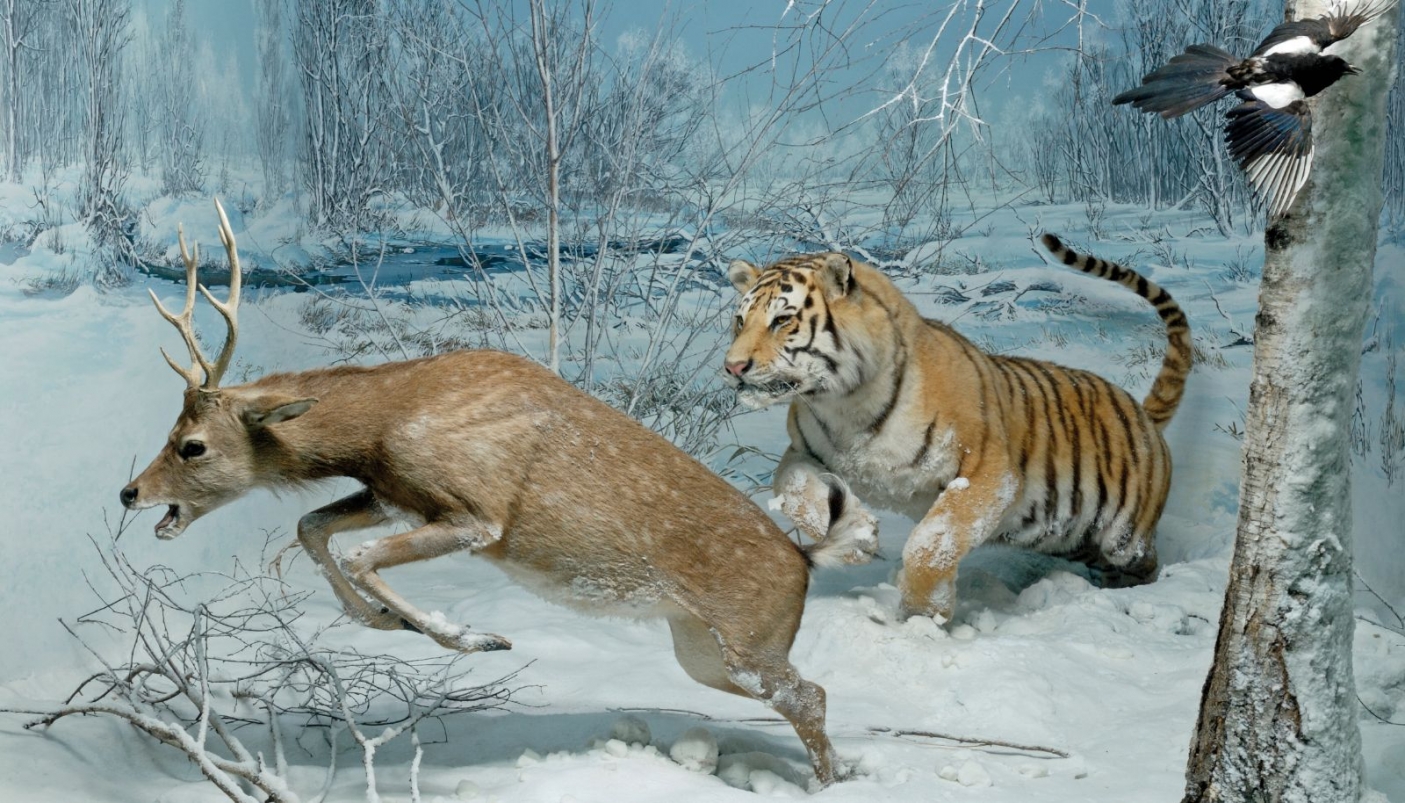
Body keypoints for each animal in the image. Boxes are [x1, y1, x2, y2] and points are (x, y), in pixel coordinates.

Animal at [118, 200, 868, 786]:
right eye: (172, 430)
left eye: (193, 445)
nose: (130, 492)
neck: (386, 419)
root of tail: (802, 561)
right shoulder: (391, 493)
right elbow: (311, 527)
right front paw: (386, 621)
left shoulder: (477, 513)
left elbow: (361, 556)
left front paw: (471, 637)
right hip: (702, 650)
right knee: (805, 693)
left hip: (749, 640)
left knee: (812, 693)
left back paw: (829, 781)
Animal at [721, 234, 1192, 622]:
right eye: (740, 321)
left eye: (782, 320)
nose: (732, 367)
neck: (843, 403)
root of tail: (1144, 413)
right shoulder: (802, 451)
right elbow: (791, 488)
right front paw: (857, 535)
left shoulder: (989, 471)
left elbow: (933, 538)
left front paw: (922, 614)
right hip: (1069, 535)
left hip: (1122, 536)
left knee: (1145, 559)